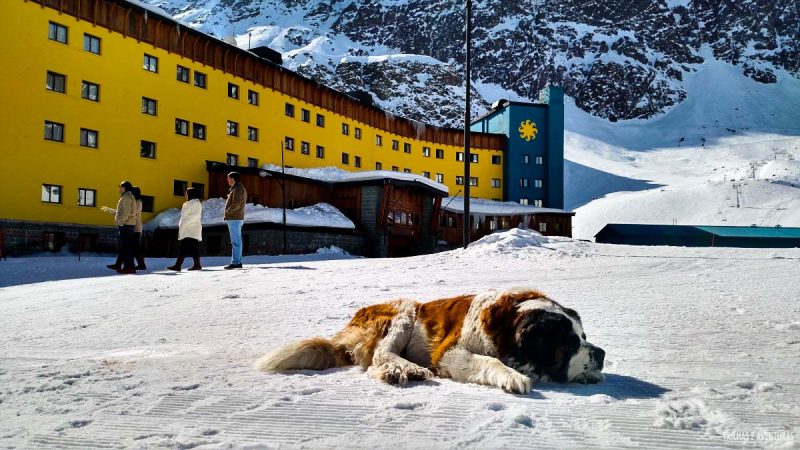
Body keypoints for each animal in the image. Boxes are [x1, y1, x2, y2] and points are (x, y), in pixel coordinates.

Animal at [253, 290, 604, 392]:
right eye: (569, 343)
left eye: (583, 336)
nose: (601, 353)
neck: (506, 323)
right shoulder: (450, 352)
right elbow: (490, 360)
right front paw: (513, 377)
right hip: (405, 310)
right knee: (380, 355)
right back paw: (404, 369)